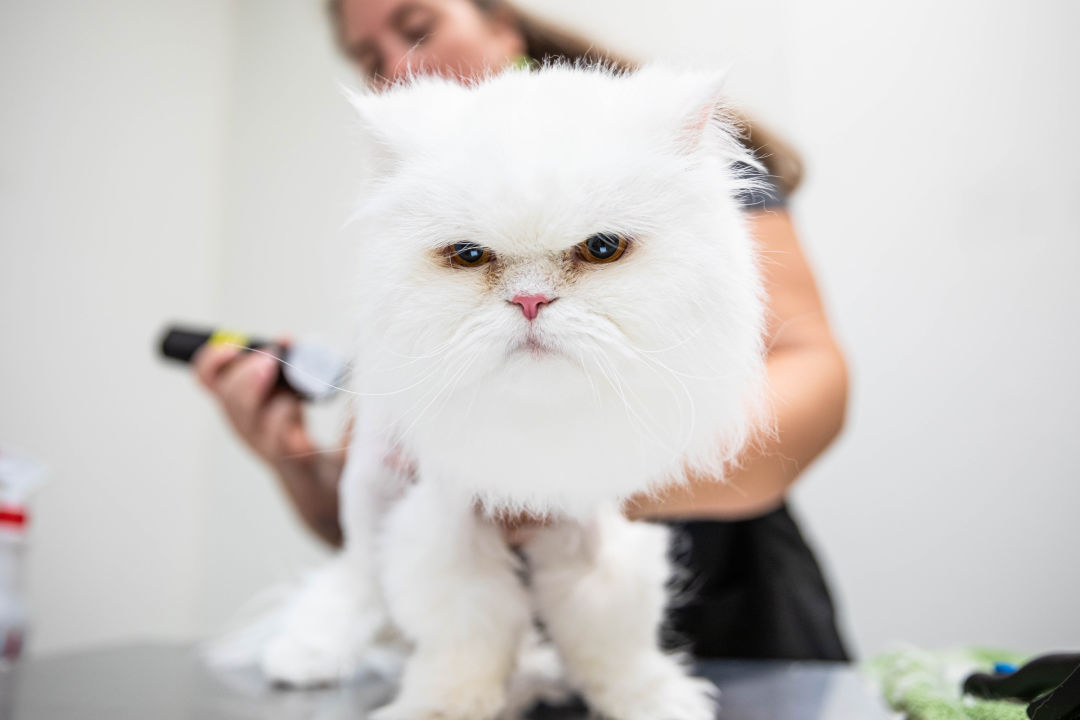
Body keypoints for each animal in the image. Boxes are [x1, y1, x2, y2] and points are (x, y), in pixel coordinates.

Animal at [233, 64, 773, 720]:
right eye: (469, 256)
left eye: (602, 248)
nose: (531, 300)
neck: (534, 423)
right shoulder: (448, 528)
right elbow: (465, 636)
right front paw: (442, 707)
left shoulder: (592, 534)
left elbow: (610, 634)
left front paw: (652, 700)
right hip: (369, 493)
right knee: (356, 577)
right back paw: (306, 654)